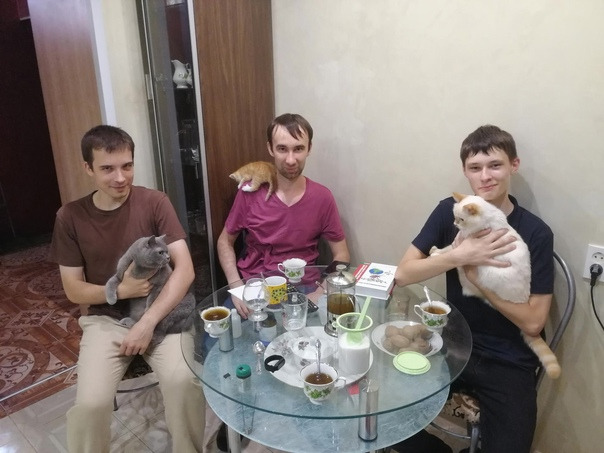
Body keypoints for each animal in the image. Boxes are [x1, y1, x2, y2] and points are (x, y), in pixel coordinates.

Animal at [430, 192, 561, 379]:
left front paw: (436, 255)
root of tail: (522, 300)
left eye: (461, 219)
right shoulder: (459, 242)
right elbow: (448, 249)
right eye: (455, 218)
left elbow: (451, 252)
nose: (455, 224)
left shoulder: (464, 247)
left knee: (471, 288)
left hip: (486, 274)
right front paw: (436, 251)